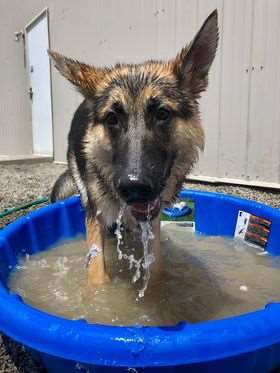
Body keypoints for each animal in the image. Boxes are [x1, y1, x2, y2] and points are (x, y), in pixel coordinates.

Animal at [48, 10, 219, 284]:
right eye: (112, 119)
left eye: (162, 114)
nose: (135, 187)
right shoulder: (96, 217)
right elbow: (97, 276)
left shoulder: (153, 222)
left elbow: (156, 268)